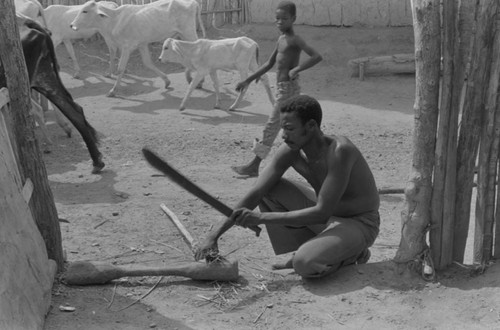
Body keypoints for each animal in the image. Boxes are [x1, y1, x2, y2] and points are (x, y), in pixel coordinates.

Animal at [69, 0, 204, 97]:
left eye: (85, 11)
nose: (71, 25)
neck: (114, 20)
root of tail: (193, 2)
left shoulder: (126, 47)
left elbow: (120, 68)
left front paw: (113, 90)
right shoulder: (142, 44)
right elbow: (148, 63)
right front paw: (166, 81)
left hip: (189, 32)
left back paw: (198, 80)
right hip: (183, 34)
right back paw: (191, 77)